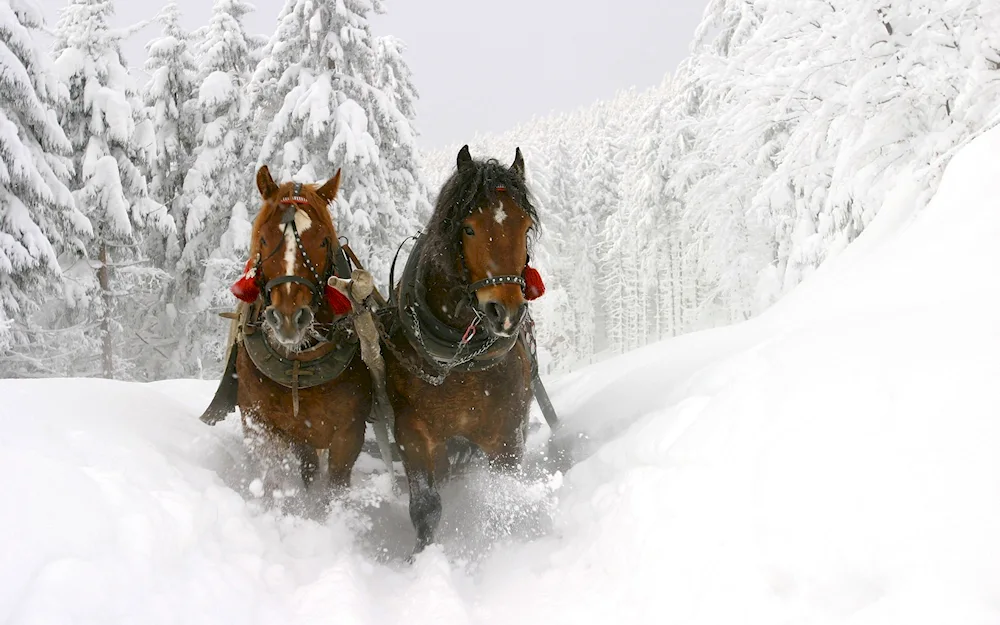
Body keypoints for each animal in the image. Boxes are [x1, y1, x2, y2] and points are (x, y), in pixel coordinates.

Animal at [201, 166, 374, 492]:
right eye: (264, 239)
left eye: (323, 241)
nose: (289, 318)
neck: (298, 363)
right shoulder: (262, 424)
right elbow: (274, 477)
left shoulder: (349, 434)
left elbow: (334, 487)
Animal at [380, 145, 548, 552]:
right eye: (468, 228)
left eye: (525, 227)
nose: (505, 312)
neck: (459, 360)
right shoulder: (413, 432)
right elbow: (426, 508)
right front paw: (420, 558)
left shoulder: (507, 435)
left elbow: (503, 497)